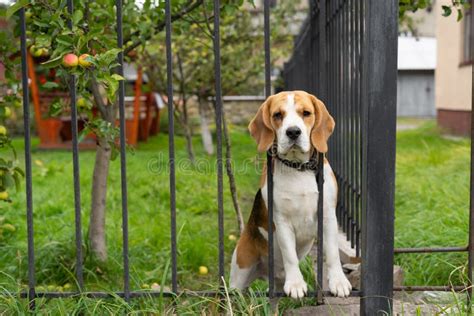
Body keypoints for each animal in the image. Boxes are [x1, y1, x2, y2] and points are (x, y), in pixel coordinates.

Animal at [230, 89, 352, 298]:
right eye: (278, 115)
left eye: (306, 113)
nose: (293, 132)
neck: (298, 169)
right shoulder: (282, 221)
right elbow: (290, 255)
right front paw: (295, 283)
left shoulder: (328, 216)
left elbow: (333, 253)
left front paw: (338, 281)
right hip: (238, 276)